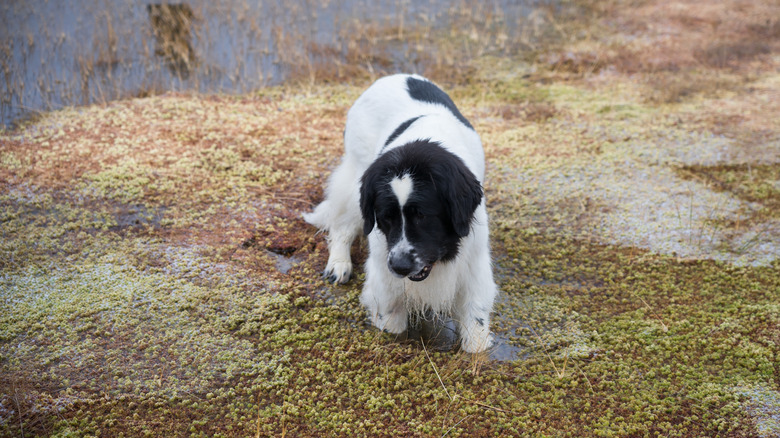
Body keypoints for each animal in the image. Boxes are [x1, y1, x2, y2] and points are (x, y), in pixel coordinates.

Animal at [302, 72, 496, 352]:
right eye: (386, 218)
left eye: (423, 216)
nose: (400, 266)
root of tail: (393, 76)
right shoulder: (386, 275)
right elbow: (392, 323)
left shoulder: (474, 263)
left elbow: (475, 331)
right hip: (354, 180)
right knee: (341, 224)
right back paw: (339, 265)